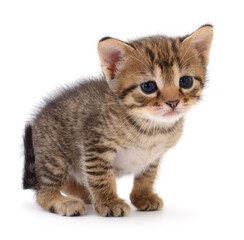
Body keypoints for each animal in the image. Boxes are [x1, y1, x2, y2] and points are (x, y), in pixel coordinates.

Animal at [23, 25, 214, 217]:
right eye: (148, 86)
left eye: (185, 81)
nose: (173, 102)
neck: (152, 127)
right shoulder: (95, 144)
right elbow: (100, 176)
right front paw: (109, 201)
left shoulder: (154, 156)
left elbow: (147, 176)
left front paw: (142, 196)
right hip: (54, 157)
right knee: (43, 191)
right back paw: (63, 201)